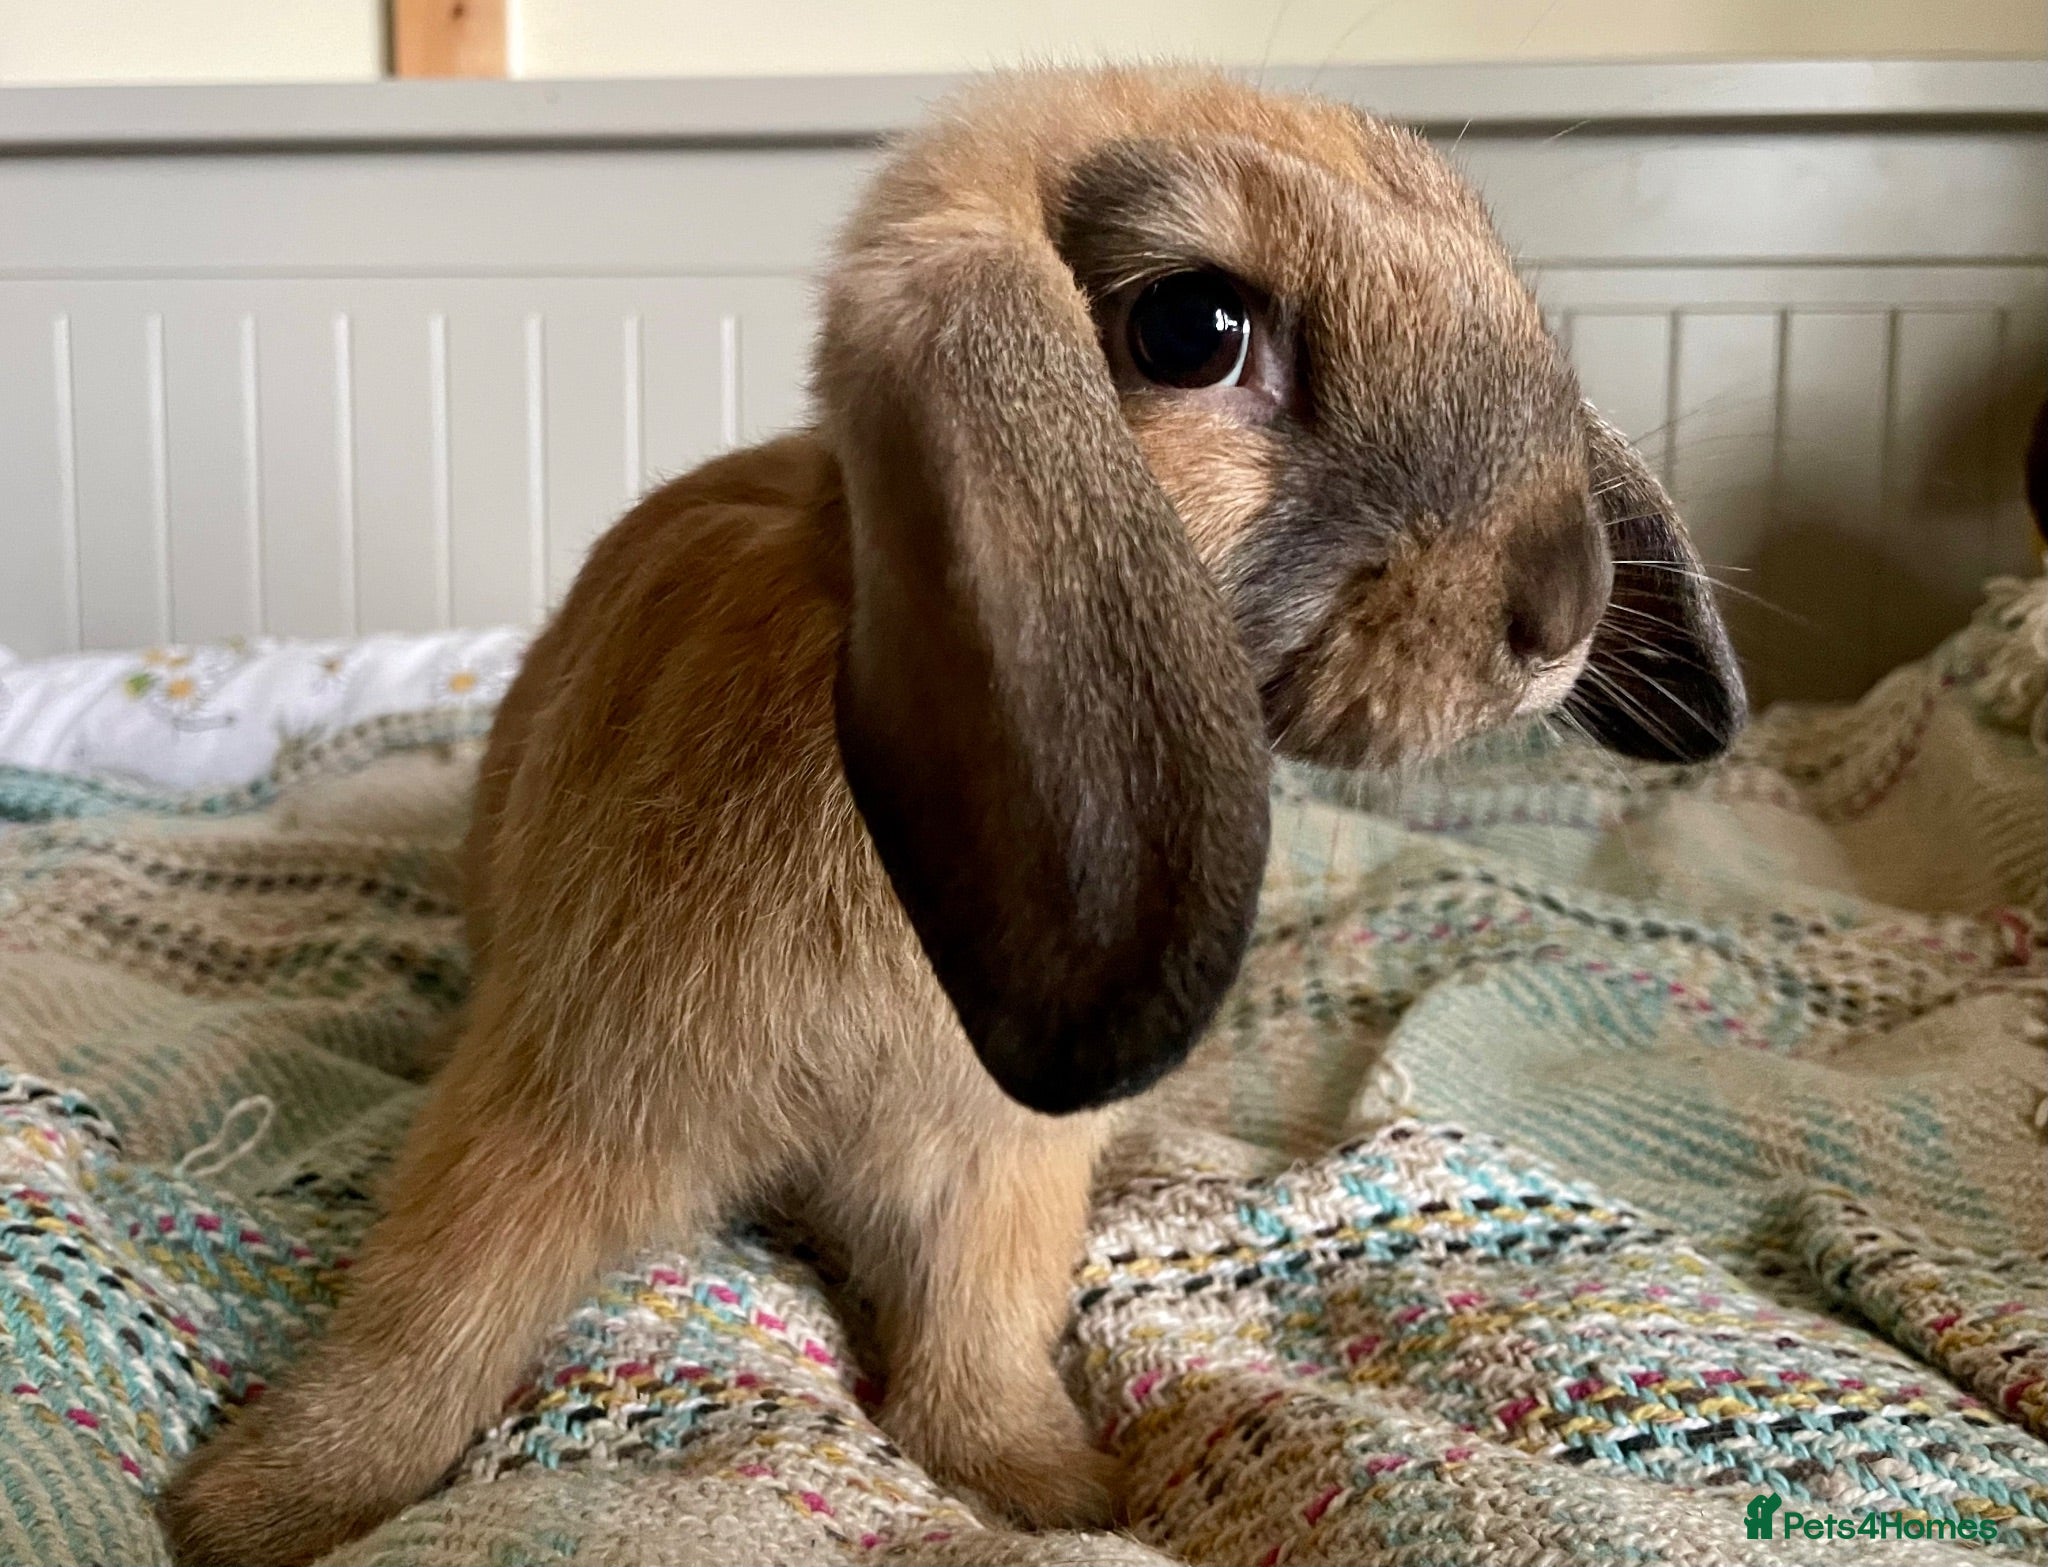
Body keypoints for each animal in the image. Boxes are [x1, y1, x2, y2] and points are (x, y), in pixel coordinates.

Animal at [160, 65, 1743, 1566]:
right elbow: (435, 1311)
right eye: (1194, 328)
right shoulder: (556, 1100)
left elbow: (979, 1331)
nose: (1565, 607)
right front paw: (256, 1508)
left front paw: (1046, 1484)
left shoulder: (993, 1170)